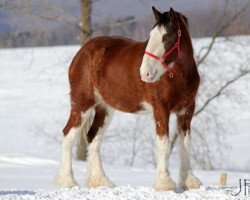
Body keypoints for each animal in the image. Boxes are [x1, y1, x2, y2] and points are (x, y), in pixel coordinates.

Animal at [54, 5, 201, 191]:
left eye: (166, 37)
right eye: (150, 36)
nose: (144, 73)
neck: (179, 76)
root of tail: (81, 53)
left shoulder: (187, 110)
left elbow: (185, 144)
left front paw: (188, 181)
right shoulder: (161, 109)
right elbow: (163, 144)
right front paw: (164, 183)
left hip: (105, 108)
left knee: (93, 137)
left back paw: (101, 181)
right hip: (82, 103)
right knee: (68, 134)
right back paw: (68, 181)